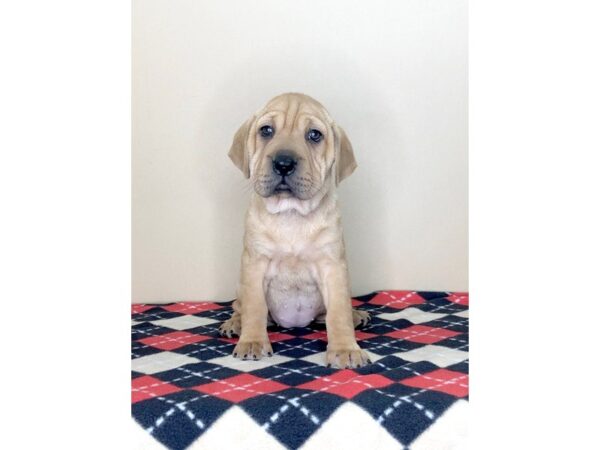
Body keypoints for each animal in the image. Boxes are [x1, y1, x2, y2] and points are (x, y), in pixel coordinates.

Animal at [220, 93, 370, 368]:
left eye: (314, 135)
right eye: (266, 130)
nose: (283, 163)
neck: (291, 214)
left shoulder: (333, 267)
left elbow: (338, 313)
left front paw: (345, 348)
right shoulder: (255, 264)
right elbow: (255, 308)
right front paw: (252, 341)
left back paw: (356, 315)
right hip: (240, 284)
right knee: (239, 306)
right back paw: (235, 324)